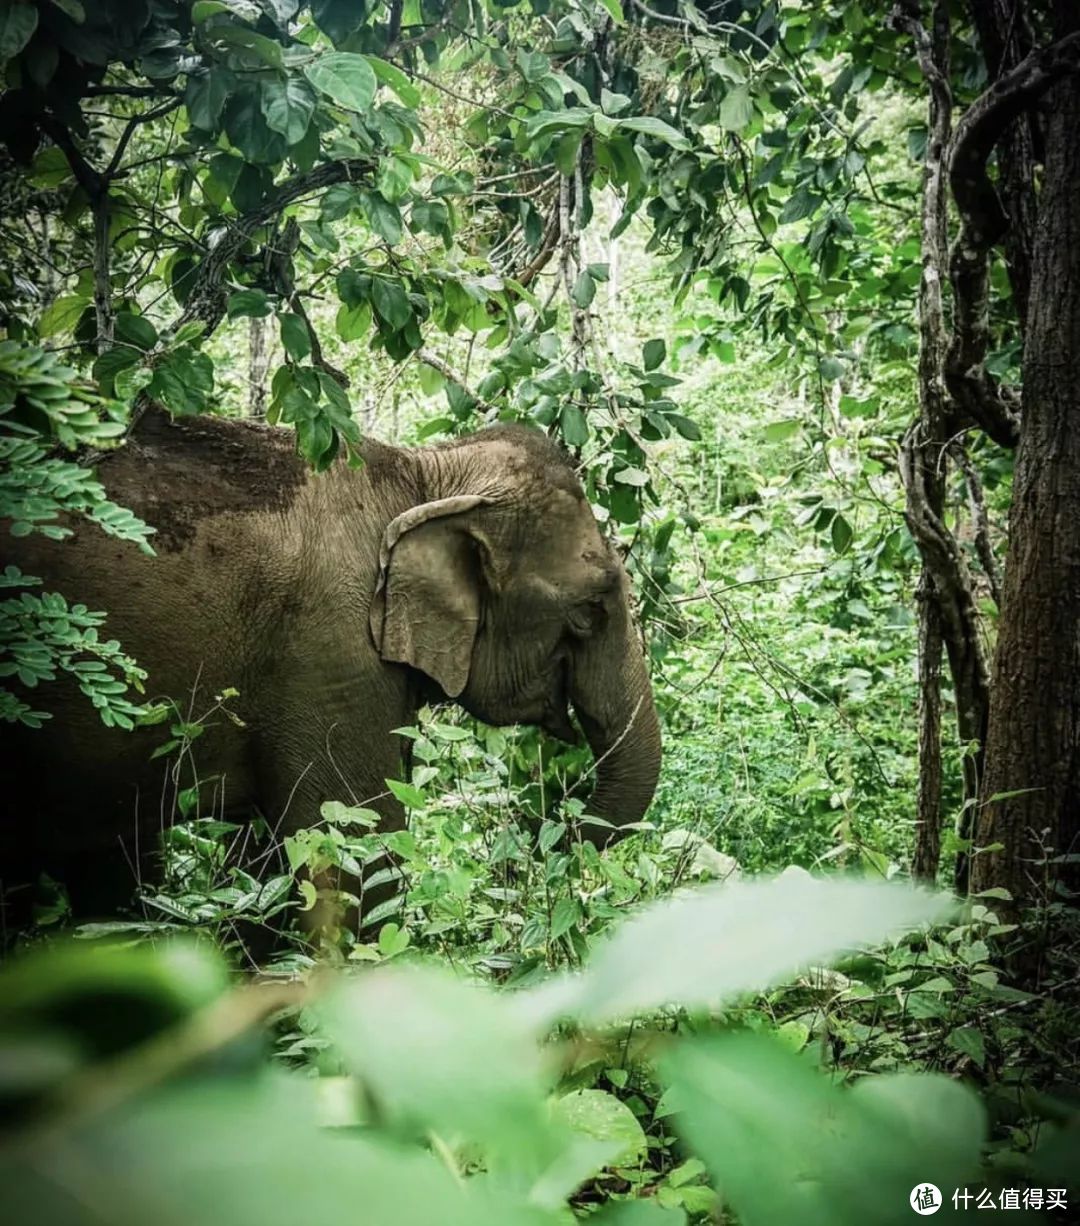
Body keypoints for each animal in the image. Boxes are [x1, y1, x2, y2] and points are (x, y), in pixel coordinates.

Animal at [0, 411, 661, 936]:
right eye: (589, 611)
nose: (539, 834)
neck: (424, 473)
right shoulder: (329, 653)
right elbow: (355, 850)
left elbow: (270, 864)